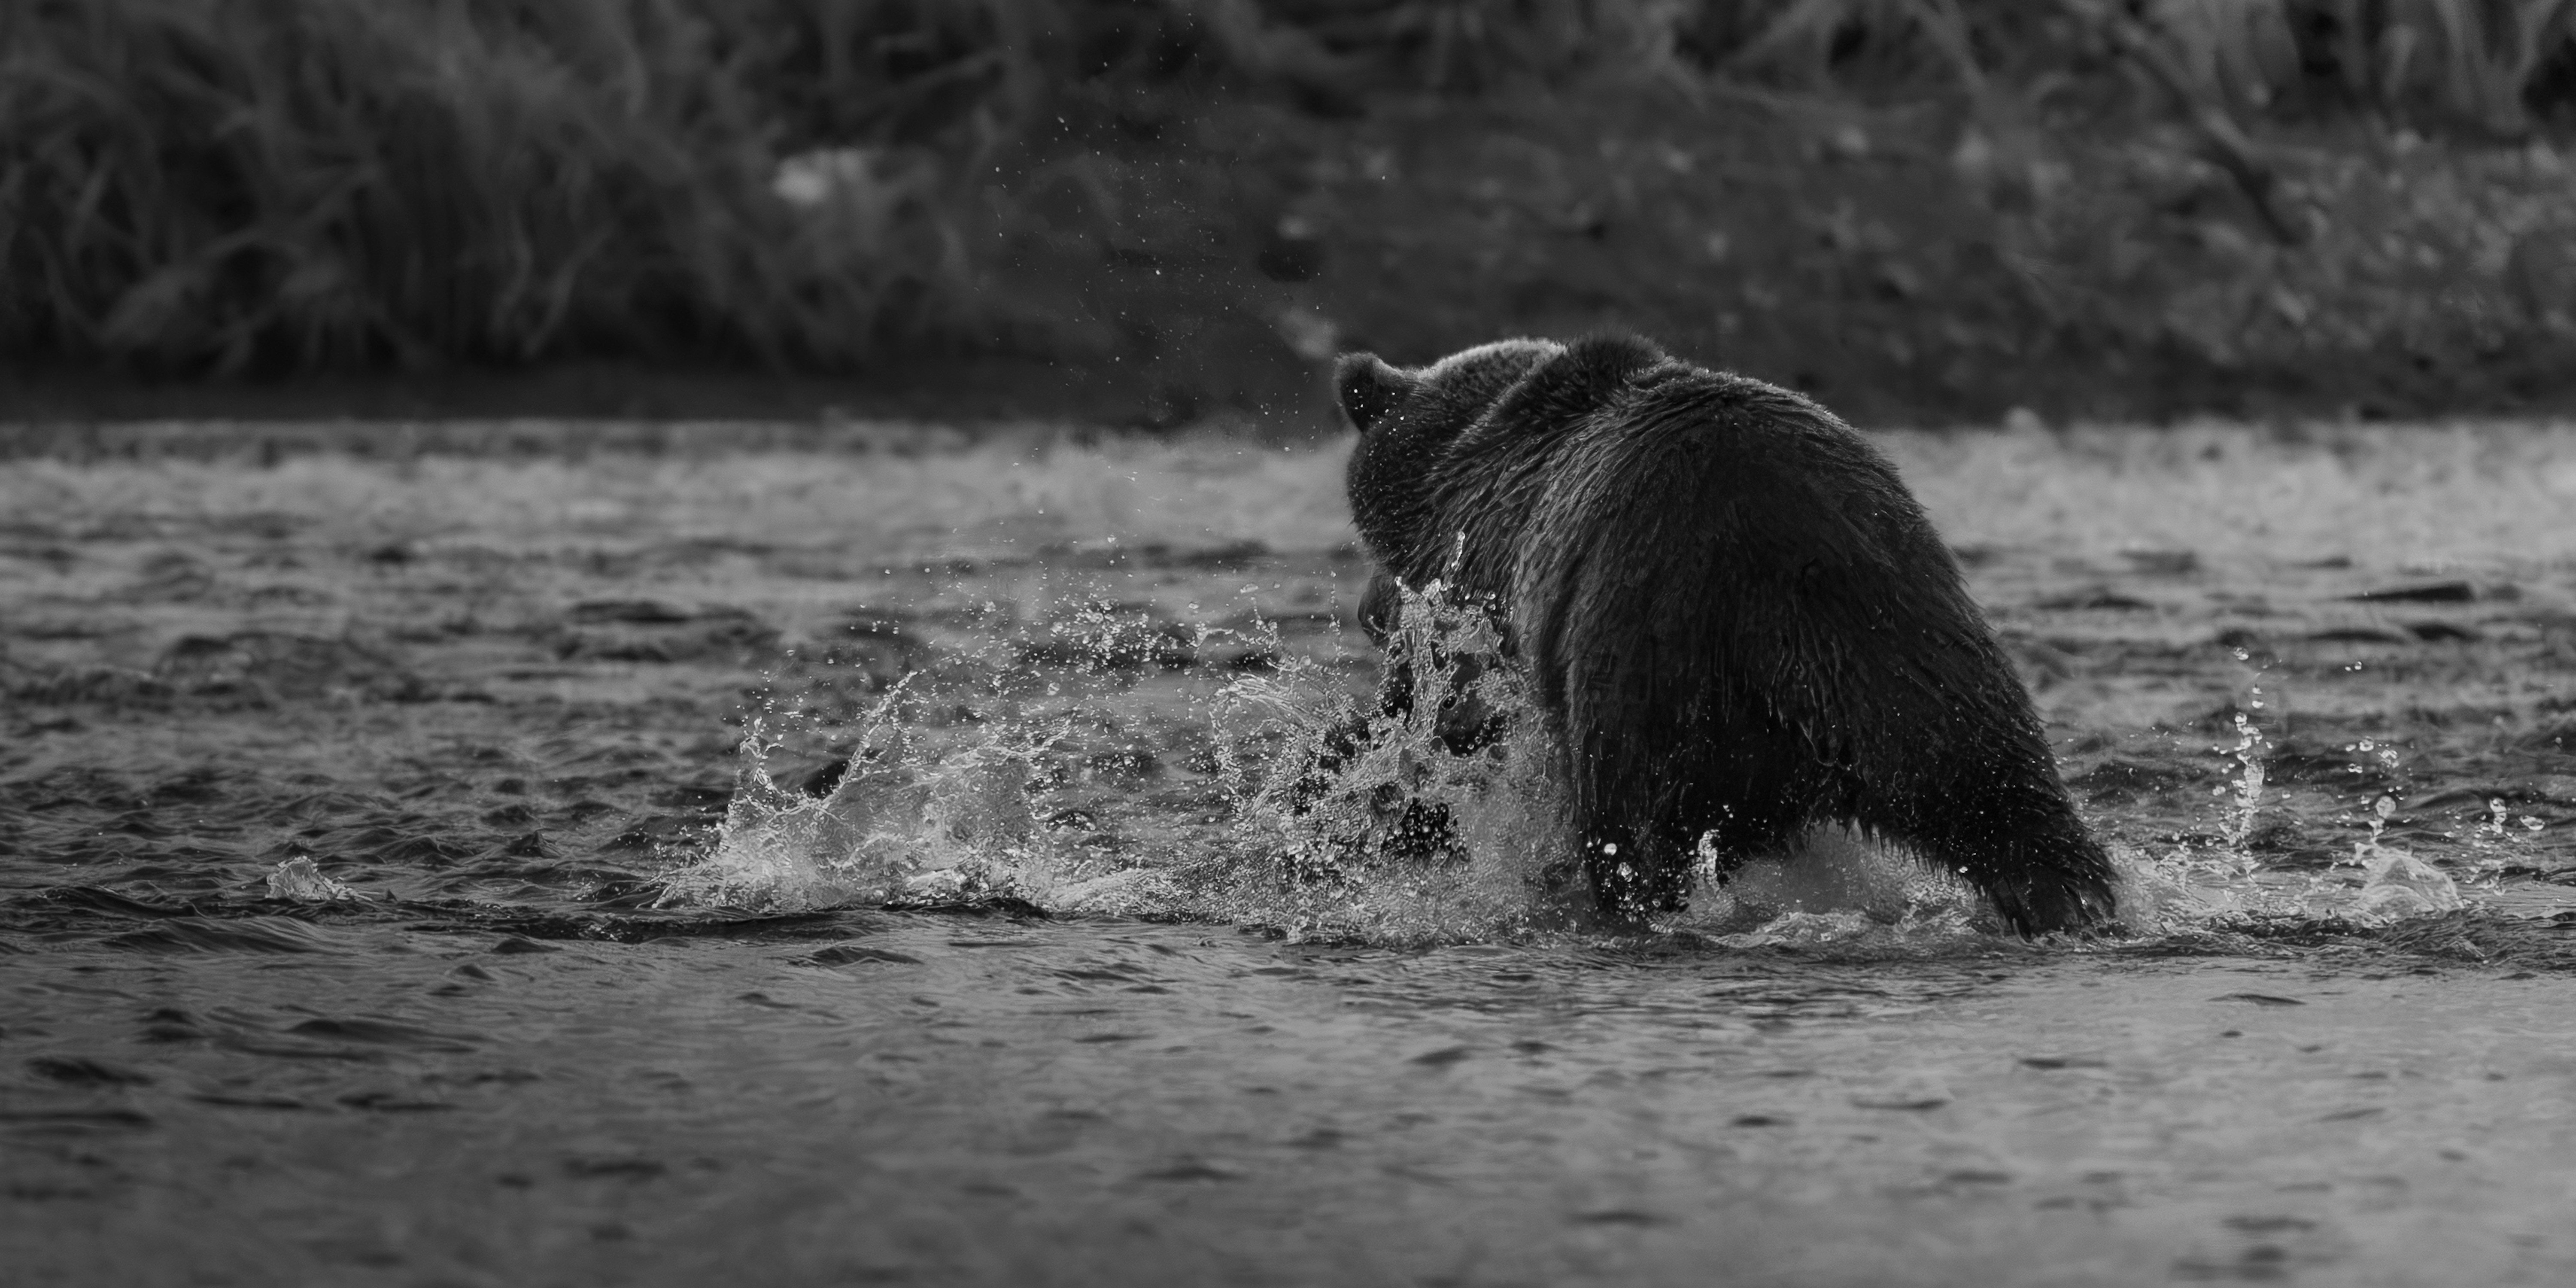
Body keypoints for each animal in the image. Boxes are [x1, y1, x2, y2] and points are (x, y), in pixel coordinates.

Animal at [1334, 333, 2117, 936]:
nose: (1367, 608)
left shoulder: (1485, 599)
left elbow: (1443, 729)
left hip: (1645, 649)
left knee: (1631, 826)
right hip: (1907, 635)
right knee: (1995, 785)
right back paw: (2074, 903)